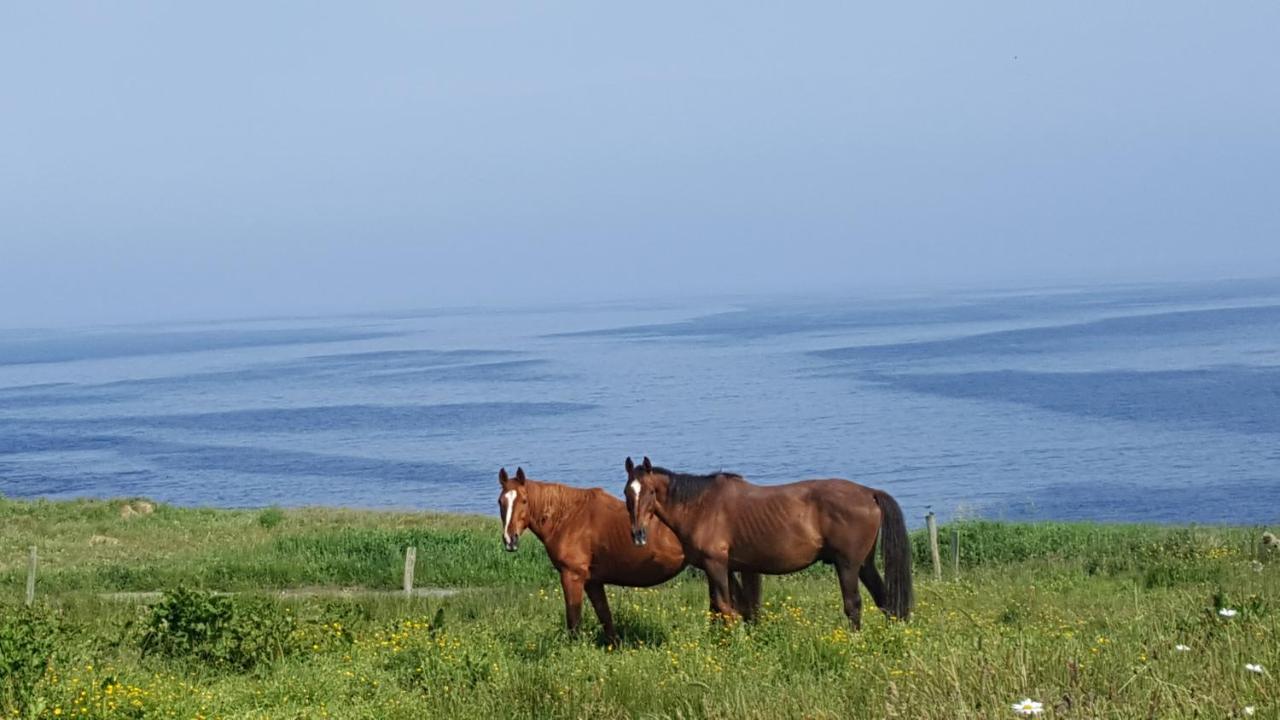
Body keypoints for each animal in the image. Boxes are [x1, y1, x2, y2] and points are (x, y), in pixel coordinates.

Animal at [496, 466, 757, 645]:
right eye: (500, 501)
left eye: (524, 500)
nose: (510, 539)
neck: (570, 517)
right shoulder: (593, 581)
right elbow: (605, 616)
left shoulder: (573, 576)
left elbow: (574, 618)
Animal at [627, 453, 911, 627]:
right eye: (627, 492)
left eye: (650, 492)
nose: (638, 534)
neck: (702, 507)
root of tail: (870, 493)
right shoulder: (727, 567)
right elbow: (730, 608)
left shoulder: (716, 564)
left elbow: (725, 607)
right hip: (865, 564)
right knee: (885, 600)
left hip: (848, 565)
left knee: (854, 605)